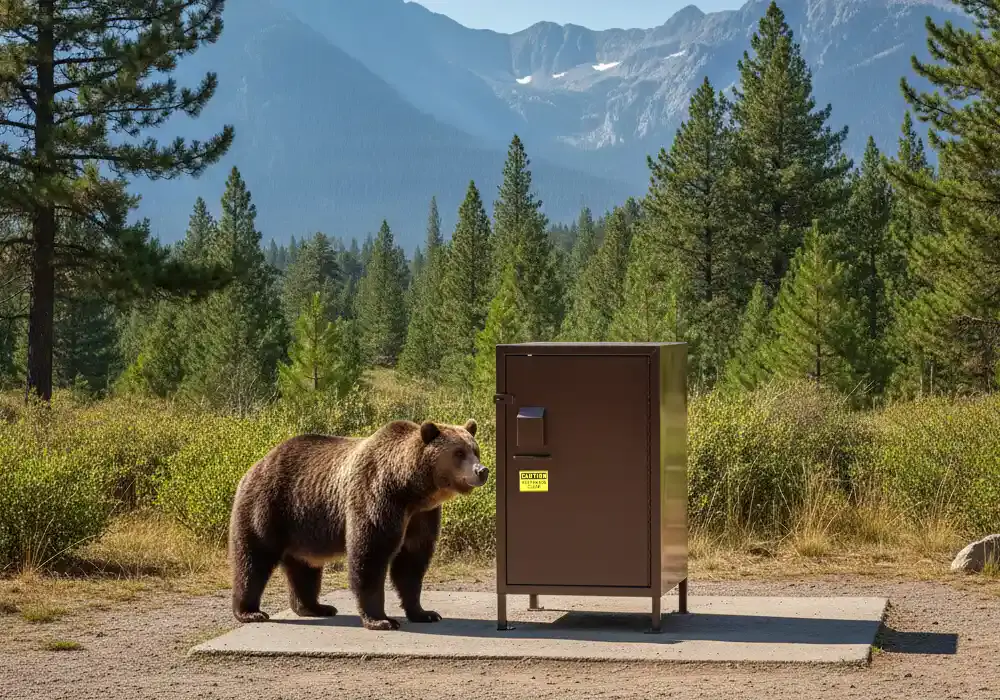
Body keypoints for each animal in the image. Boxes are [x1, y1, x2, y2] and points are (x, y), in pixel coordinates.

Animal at [226, 418, 488, 631]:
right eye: (458, 453)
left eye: (475, 450)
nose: (482, 470)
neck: (410, 490)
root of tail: (257, 465)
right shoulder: (377, 496)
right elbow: (371, 553)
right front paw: (382, 619)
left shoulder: (422, 516)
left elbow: (412, 561)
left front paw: (425, 613)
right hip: (269, 506)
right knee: (253, 558)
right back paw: (250, 612)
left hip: (303, 525)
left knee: (304, 567)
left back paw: (316, 607)